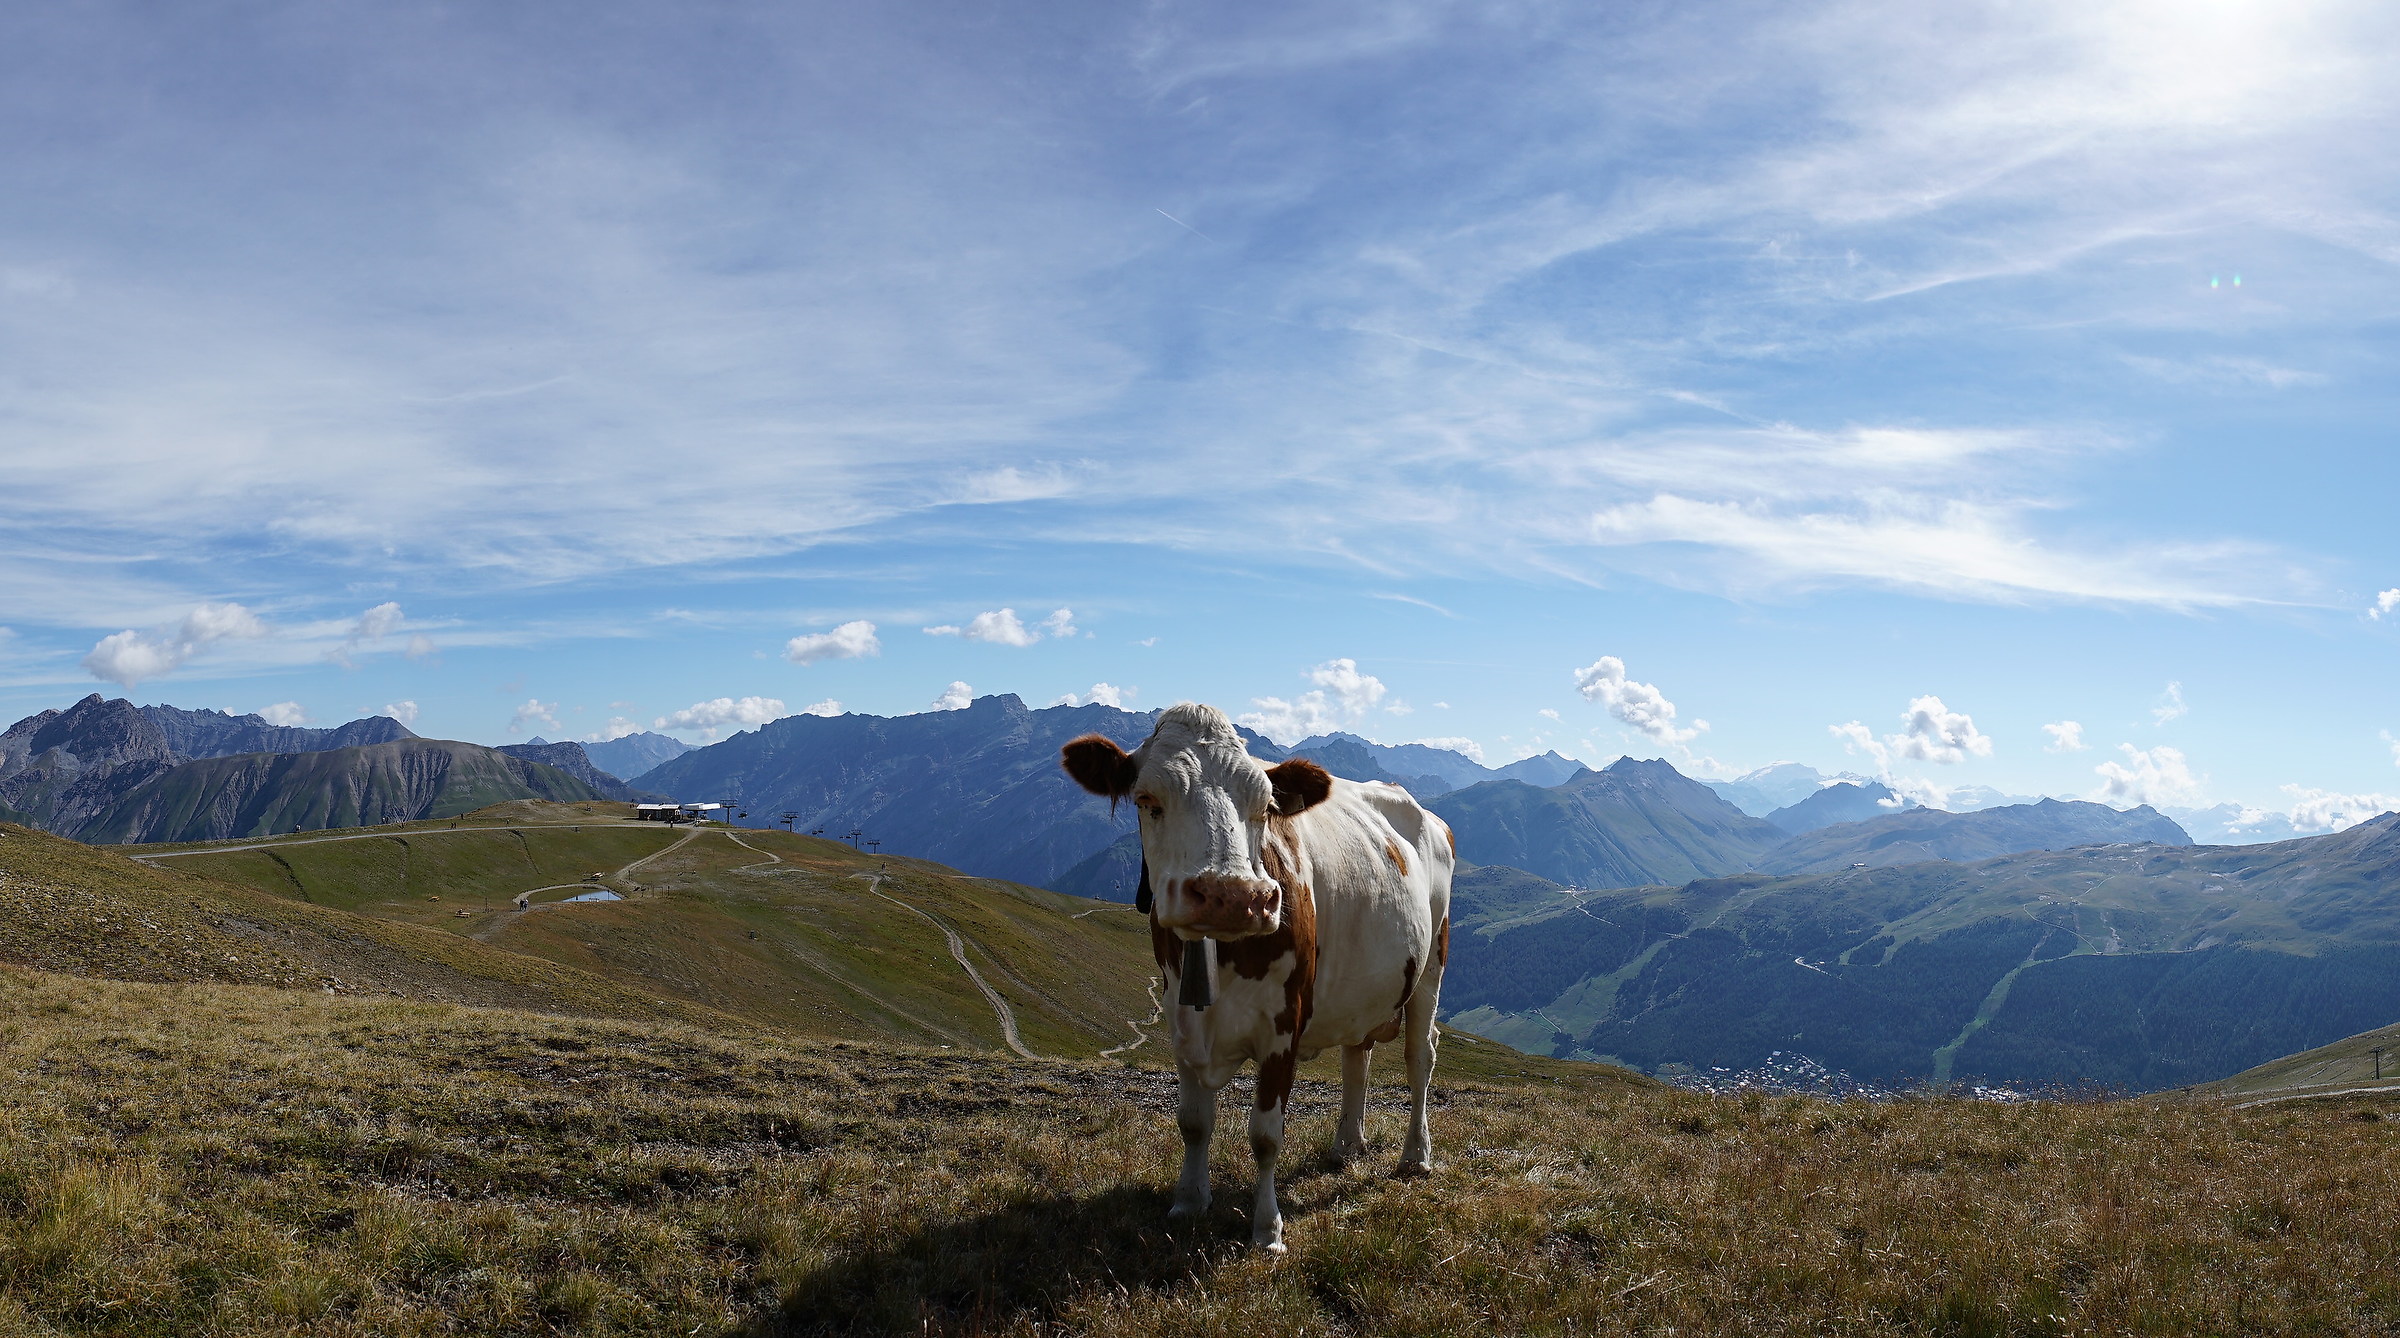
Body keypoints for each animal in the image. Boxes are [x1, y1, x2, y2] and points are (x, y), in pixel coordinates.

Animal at [1061, 702, 1454, 1253]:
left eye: (1265, 806)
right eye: (1146, 799)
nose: (1230, 895)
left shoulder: (1283, 1027)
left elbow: (1266, 1135)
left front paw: (1267, 1230)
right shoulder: (1180, 1020)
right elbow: (1193, 1122)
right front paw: (1188, 1201)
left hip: (1431, 966)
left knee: (1420, 1057)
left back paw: (1415, 1156)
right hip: (1364, 988)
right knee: (1357, 1055)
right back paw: (1346, 1145)